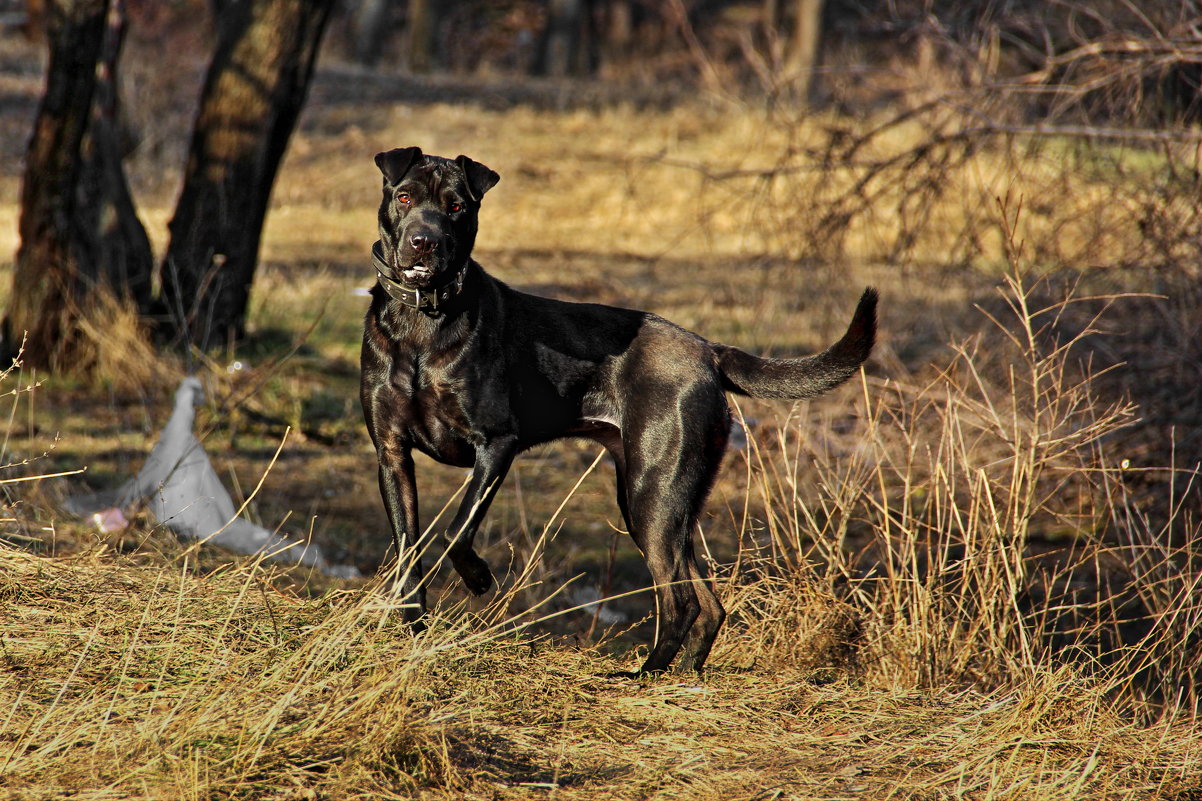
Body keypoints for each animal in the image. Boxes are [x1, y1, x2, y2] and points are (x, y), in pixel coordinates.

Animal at [360, 146, 879, 668]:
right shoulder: (393, 454)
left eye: (456, 206)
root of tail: (709, 352)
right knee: (708, 603)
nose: (423, 242)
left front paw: (478, 577)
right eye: (405, 197)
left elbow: (456, 531)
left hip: (653, 494)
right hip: (656, 500)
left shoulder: (496, 444)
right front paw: (412, 631)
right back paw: (681, 673)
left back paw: (644, 673)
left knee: (682, 599)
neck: (421, 321)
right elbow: (407, 550)